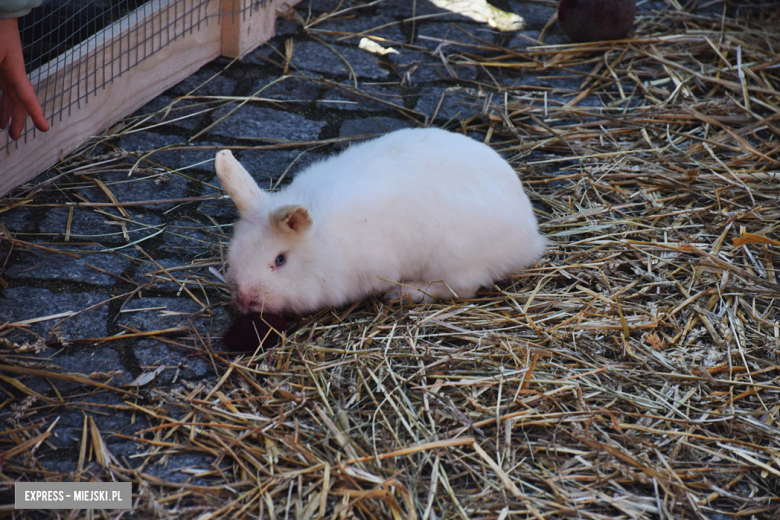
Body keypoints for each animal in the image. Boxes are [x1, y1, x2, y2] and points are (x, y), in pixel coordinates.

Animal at [213, 128, 544, 314]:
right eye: (234, 254)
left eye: (280, 260)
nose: (245, 299)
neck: (324, 241)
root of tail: (530, 238)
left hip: (455, 261)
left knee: (459, 290)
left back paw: (403, 294)